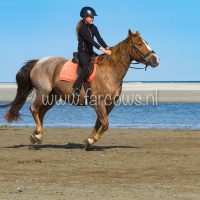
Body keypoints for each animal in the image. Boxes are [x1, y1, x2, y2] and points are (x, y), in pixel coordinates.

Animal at [0, 29, 159, 150]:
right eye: (139, 44)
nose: (156, 60)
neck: (110, 71)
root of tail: (39, 62)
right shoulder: (98, 103)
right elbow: (105, 124)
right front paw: (90, 141)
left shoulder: (109, 105)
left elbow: (100, 123)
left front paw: (88, 142)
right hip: (43, 92)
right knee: (34, 109)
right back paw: (38, 134)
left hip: (52, 97)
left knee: (41, 112)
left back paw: (36, 136)